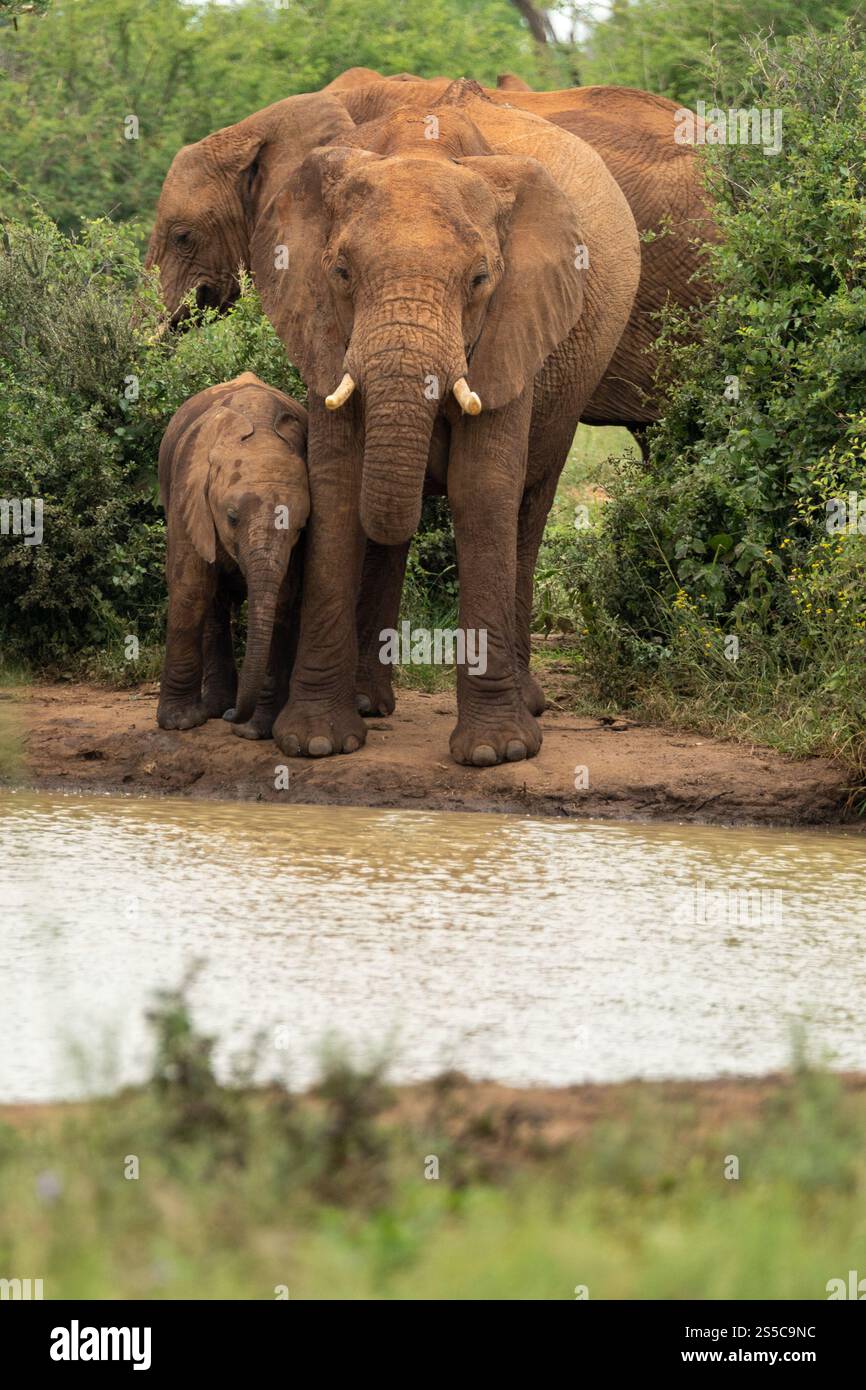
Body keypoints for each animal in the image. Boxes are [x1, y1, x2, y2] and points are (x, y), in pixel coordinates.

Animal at [157, 372, 309, 740]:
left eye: (300, 527)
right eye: (232, 518)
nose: (232, 717)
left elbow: (283, 598)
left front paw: (254, 731)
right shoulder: (187, 488)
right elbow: (190, 586)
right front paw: (179, 723)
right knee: (211, 598)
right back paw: (213, 708)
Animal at [249, 80, 640, 765]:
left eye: (480, 279)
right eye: (341, 272)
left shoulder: (514, 326)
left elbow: (482, 488)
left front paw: (495, 753)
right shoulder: (321, 329)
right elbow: (339, 485)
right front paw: (315, 743)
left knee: (529, 507)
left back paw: (528, 702)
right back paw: (368, 703)